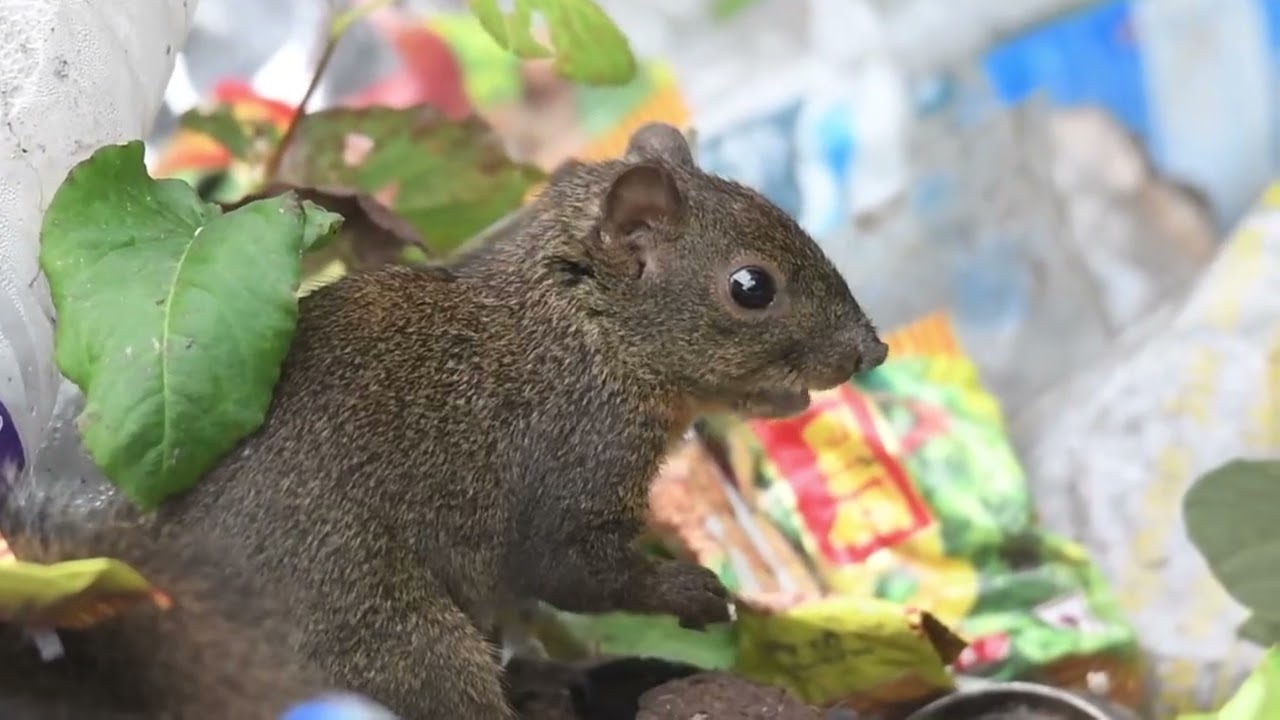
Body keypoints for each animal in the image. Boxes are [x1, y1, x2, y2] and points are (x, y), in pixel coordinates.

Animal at [8, 122, 888, 719]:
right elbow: (571, 569)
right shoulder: (575, 454)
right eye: (751, 287)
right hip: (408, 655)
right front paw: (698, 592)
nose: (871, 349)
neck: (581, 330)